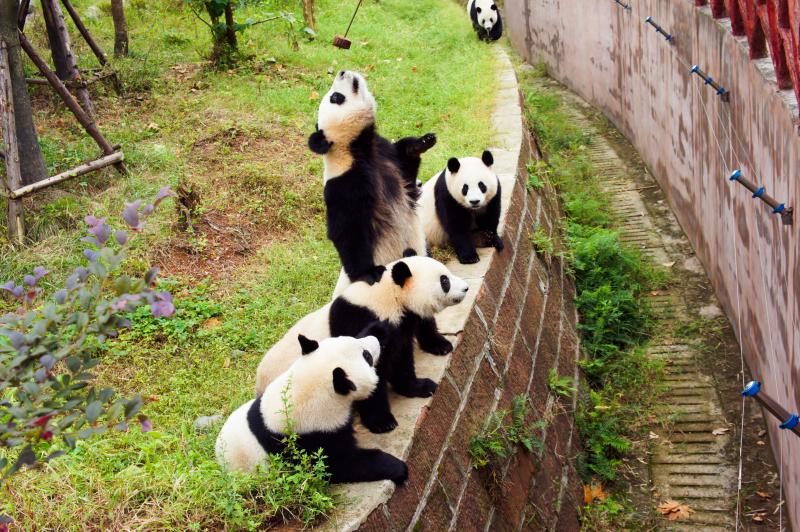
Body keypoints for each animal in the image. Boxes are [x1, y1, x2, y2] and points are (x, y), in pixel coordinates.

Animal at [255, 256, 469, 433]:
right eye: (444, 280)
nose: (466, 288)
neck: (389, 297)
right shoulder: (361, 323)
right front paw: (382, 422)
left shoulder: (398, 327)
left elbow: (400, 359)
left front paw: (421, 386)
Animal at [308, 70, 436, 296]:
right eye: (335, 97)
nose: (342, 71)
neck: (357, 148)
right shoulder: (345, 183)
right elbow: (346, 230)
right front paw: (369, 273)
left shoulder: (385, 155)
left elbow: (406, 170)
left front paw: (422, 142)